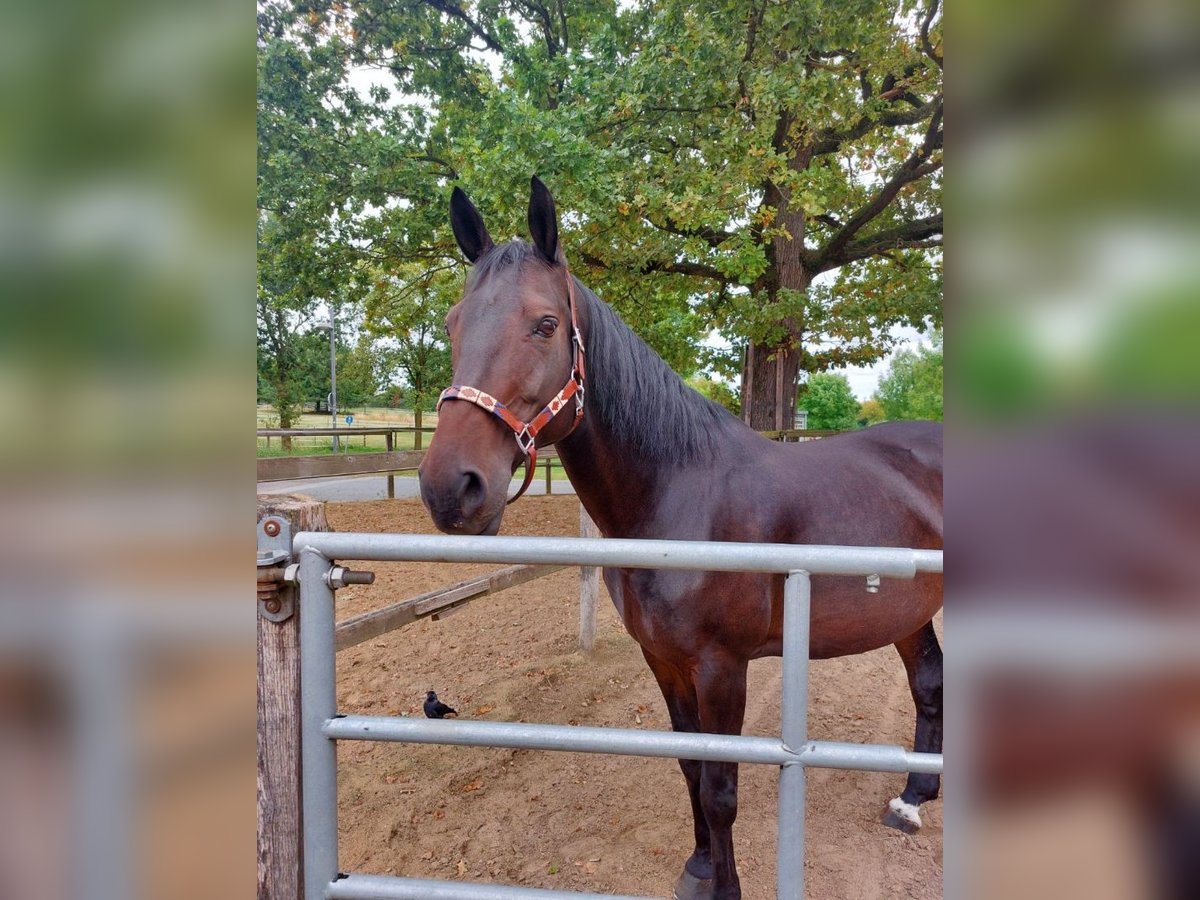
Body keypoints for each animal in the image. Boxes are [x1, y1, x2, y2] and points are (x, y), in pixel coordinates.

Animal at [418, 176, 943, 900]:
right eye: (452, 323)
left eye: (545, 324)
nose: (452, 488)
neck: (678, 495)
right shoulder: (664, 661)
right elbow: (690, 767)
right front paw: (698, 868)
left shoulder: (722, 666)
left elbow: (721, 788)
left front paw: (726, 887)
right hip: (908, 612)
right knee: (929, 680)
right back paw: (913, 797)